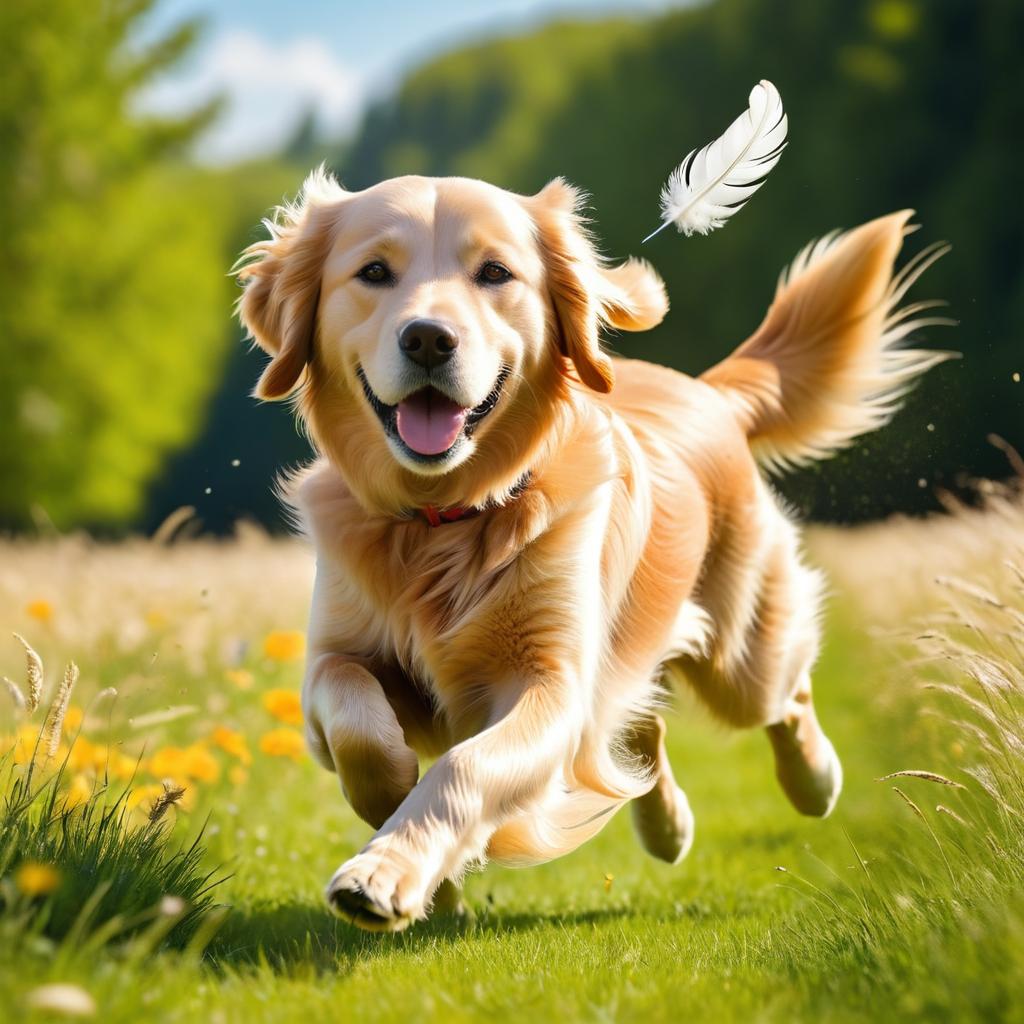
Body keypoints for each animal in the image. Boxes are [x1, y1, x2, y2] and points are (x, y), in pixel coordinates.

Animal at [235, 167, 946, 929]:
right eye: (373, 272)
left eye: (494, 273)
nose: (428, 339)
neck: (443, 519)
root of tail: (708, 391)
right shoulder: (334, 654)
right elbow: (358, 725)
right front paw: (410, 830)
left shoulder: (552, 684)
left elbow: (465, 767)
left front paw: (385, 871)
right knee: (641, 730)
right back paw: (668, 826)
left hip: (739, 653)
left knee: (783, 696)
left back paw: (815, 779)